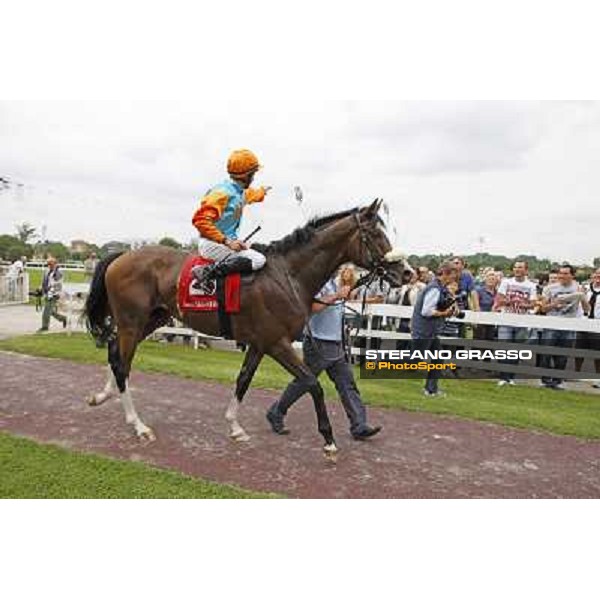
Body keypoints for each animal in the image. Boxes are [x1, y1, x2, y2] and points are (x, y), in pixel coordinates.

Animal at [84, 198, 410, 454]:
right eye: (375, 234)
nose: (406, 272)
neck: (288, 274)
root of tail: (122, 256)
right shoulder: (277, 343)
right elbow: (312, 384)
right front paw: (329, 441)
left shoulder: (259, 343)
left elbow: (243, 380)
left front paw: (235, 427)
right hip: (132, 321)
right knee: (122, 363)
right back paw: (138, 425)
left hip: (153, 319)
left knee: (116, 354)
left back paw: (103, 396)